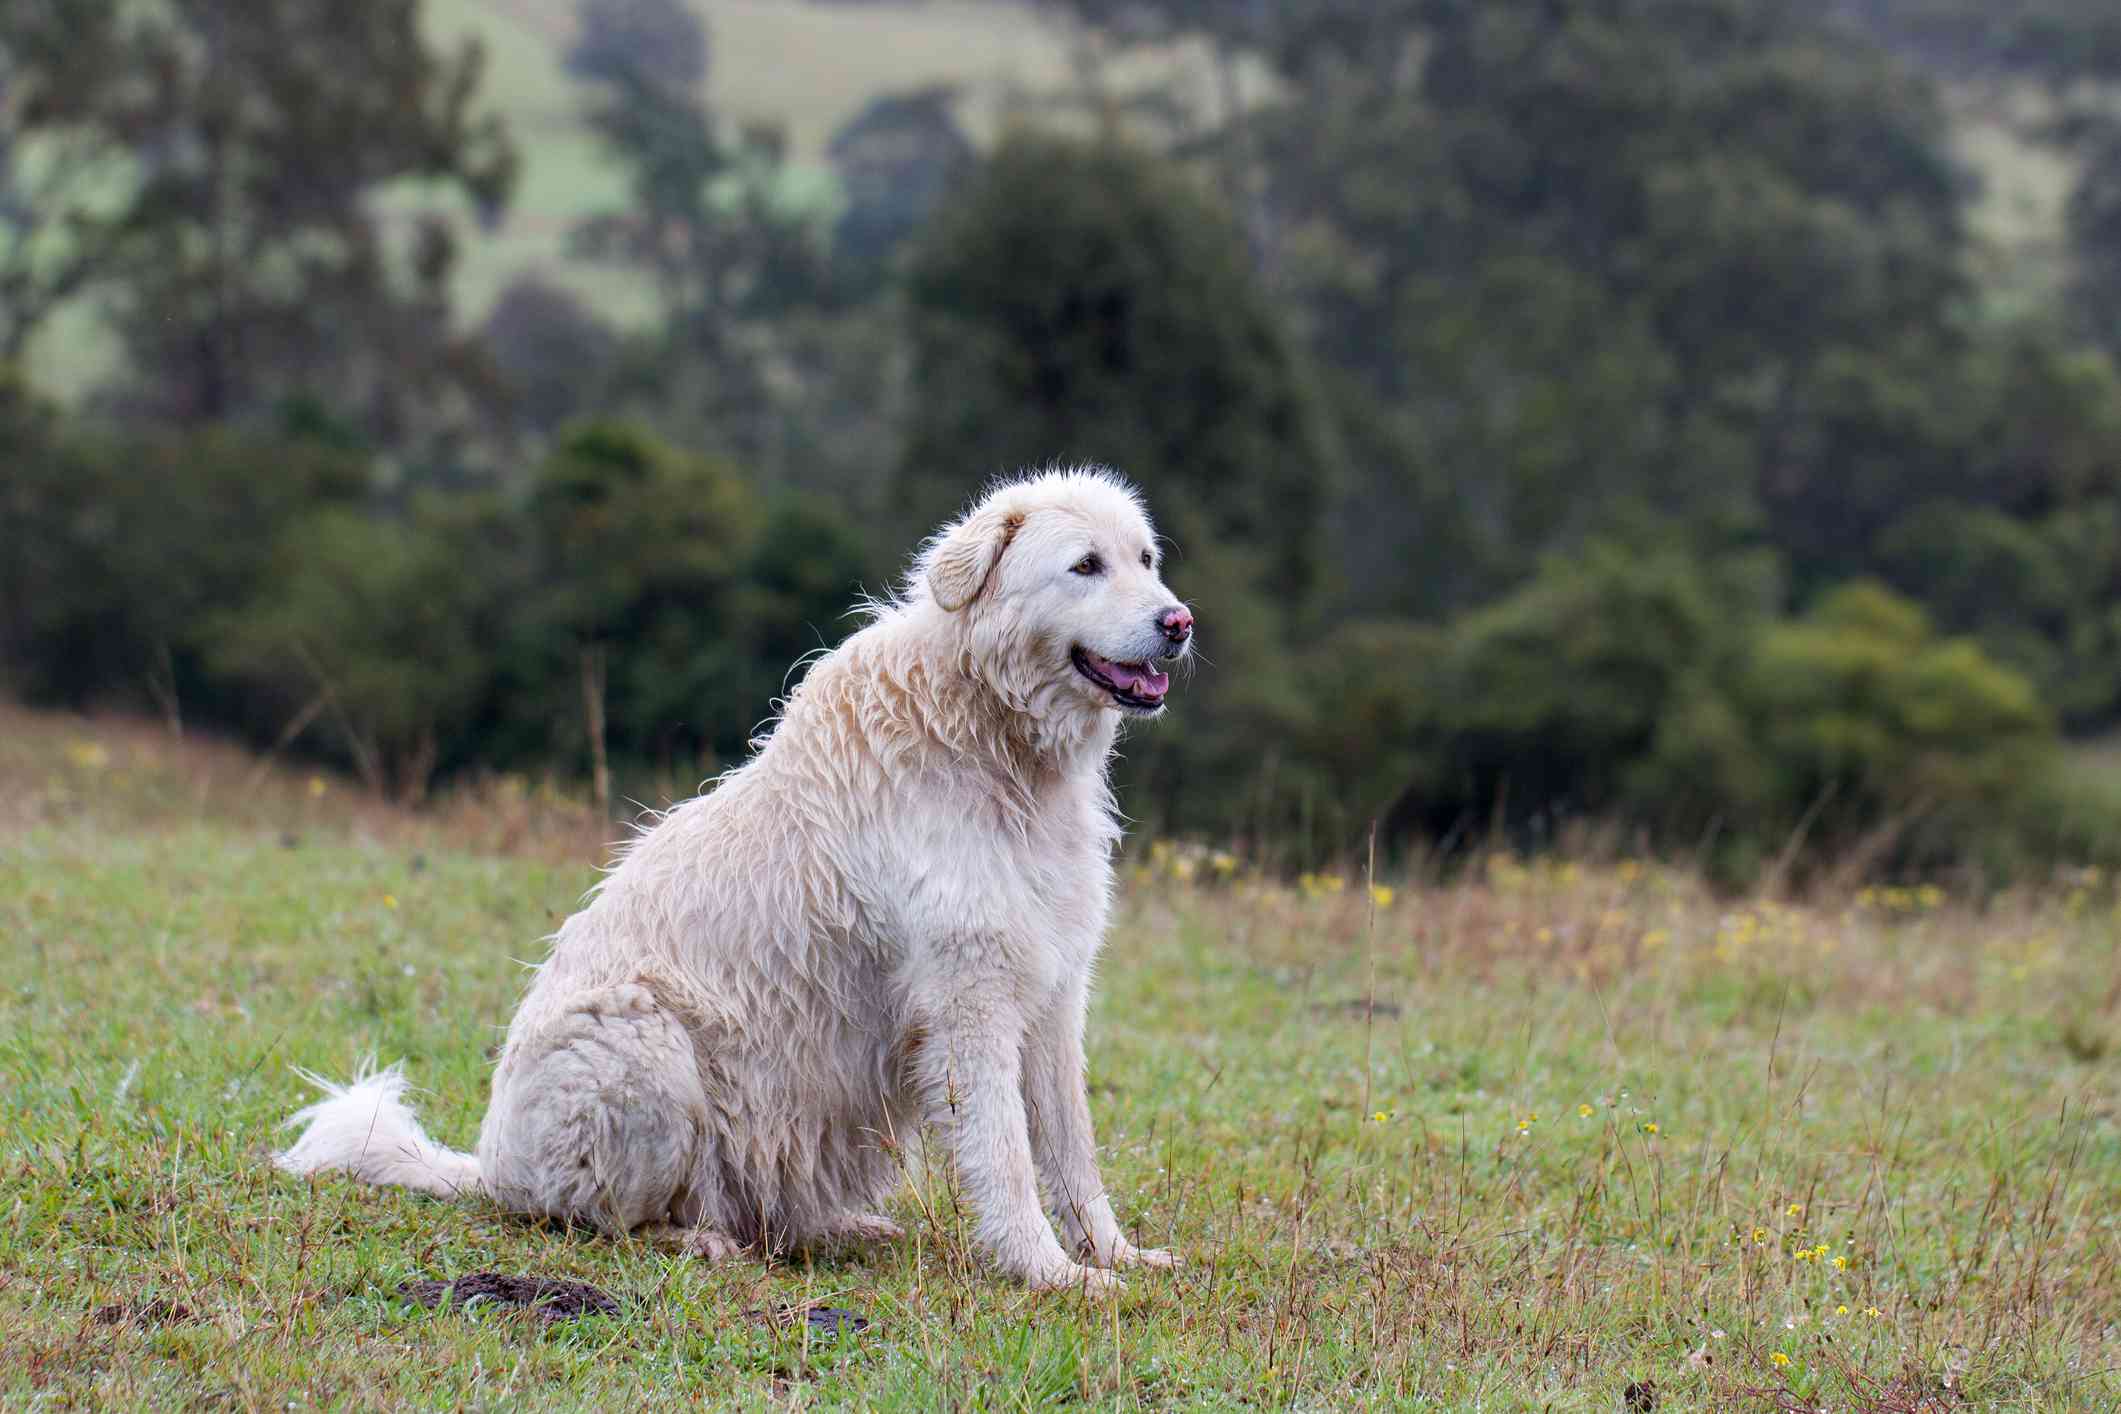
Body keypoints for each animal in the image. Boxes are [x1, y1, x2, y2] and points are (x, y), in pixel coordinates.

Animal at [286, 470, 1196, 1288]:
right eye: (1084, 566)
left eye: (1145, 558)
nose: (1178, 621)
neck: (994, 738)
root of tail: (490, 1168)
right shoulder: (969, 1001)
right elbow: (1005, 1154)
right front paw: (1048, 1272)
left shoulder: (1053, 994)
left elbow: (1072, 1150)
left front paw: (1114, 1256)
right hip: (642, 1041)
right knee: (594, 1217)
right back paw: (694, 1240)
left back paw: (840, 1228)